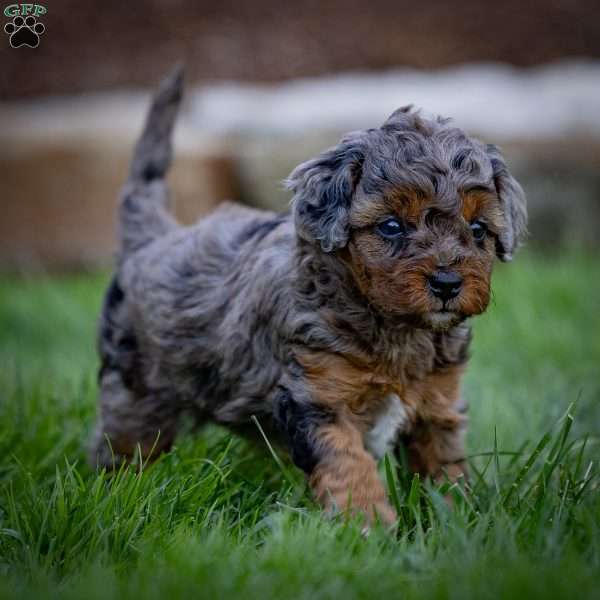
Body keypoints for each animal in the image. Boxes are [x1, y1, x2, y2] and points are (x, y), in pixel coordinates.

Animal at [89, 67, 524, 524]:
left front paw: (457, 519)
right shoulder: (318, 397)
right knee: (124, 444)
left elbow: (444, 468)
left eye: (478, 229)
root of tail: (154, 237)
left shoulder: (437, 402)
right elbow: (348, 466)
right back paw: (119, 492)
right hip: (134, 389)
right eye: (390, 226)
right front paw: (367, 525)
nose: (446, 284)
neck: (396, 329)